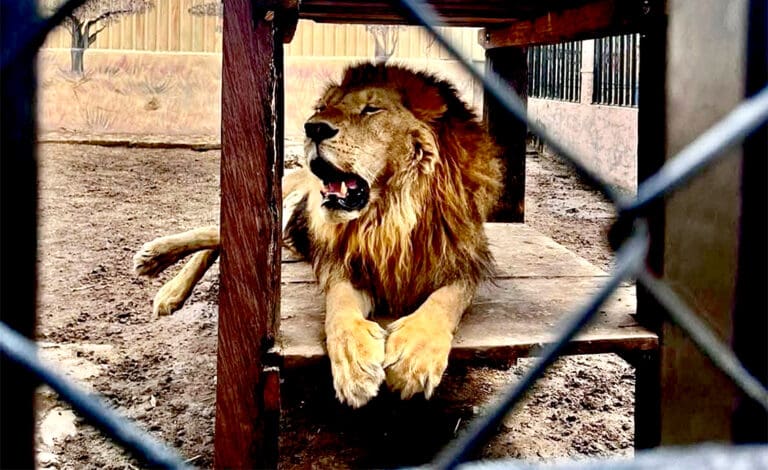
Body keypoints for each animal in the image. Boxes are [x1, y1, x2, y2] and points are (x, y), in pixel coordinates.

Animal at [133, 63, 504, 408]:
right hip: (281, 208)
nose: (313, 128)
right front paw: (354, 362)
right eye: (324, 107)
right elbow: (340, 306)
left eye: (371, 109)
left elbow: (444, 302)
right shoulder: (341, 263)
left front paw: (415, 355)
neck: (389, 218)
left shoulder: (466, 263)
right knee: (216, 233)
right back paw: (160, 272)